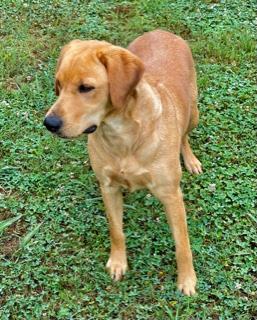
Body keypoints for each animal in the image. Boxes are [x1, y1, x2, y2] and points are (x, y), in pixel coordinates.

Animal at [43, 29, 200, 296]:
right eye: (59, 85)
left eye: (86, 88)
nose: (49, 124)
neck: (122, 136)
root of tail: (160, 31)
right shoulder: (108, 187)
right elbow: (117, 232)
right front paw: (118, 263)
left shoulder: (171, 195)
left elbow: (182, 243)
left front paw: (187, 280)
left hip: (193, 113)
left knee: (184, 136)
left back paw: (190, 160)